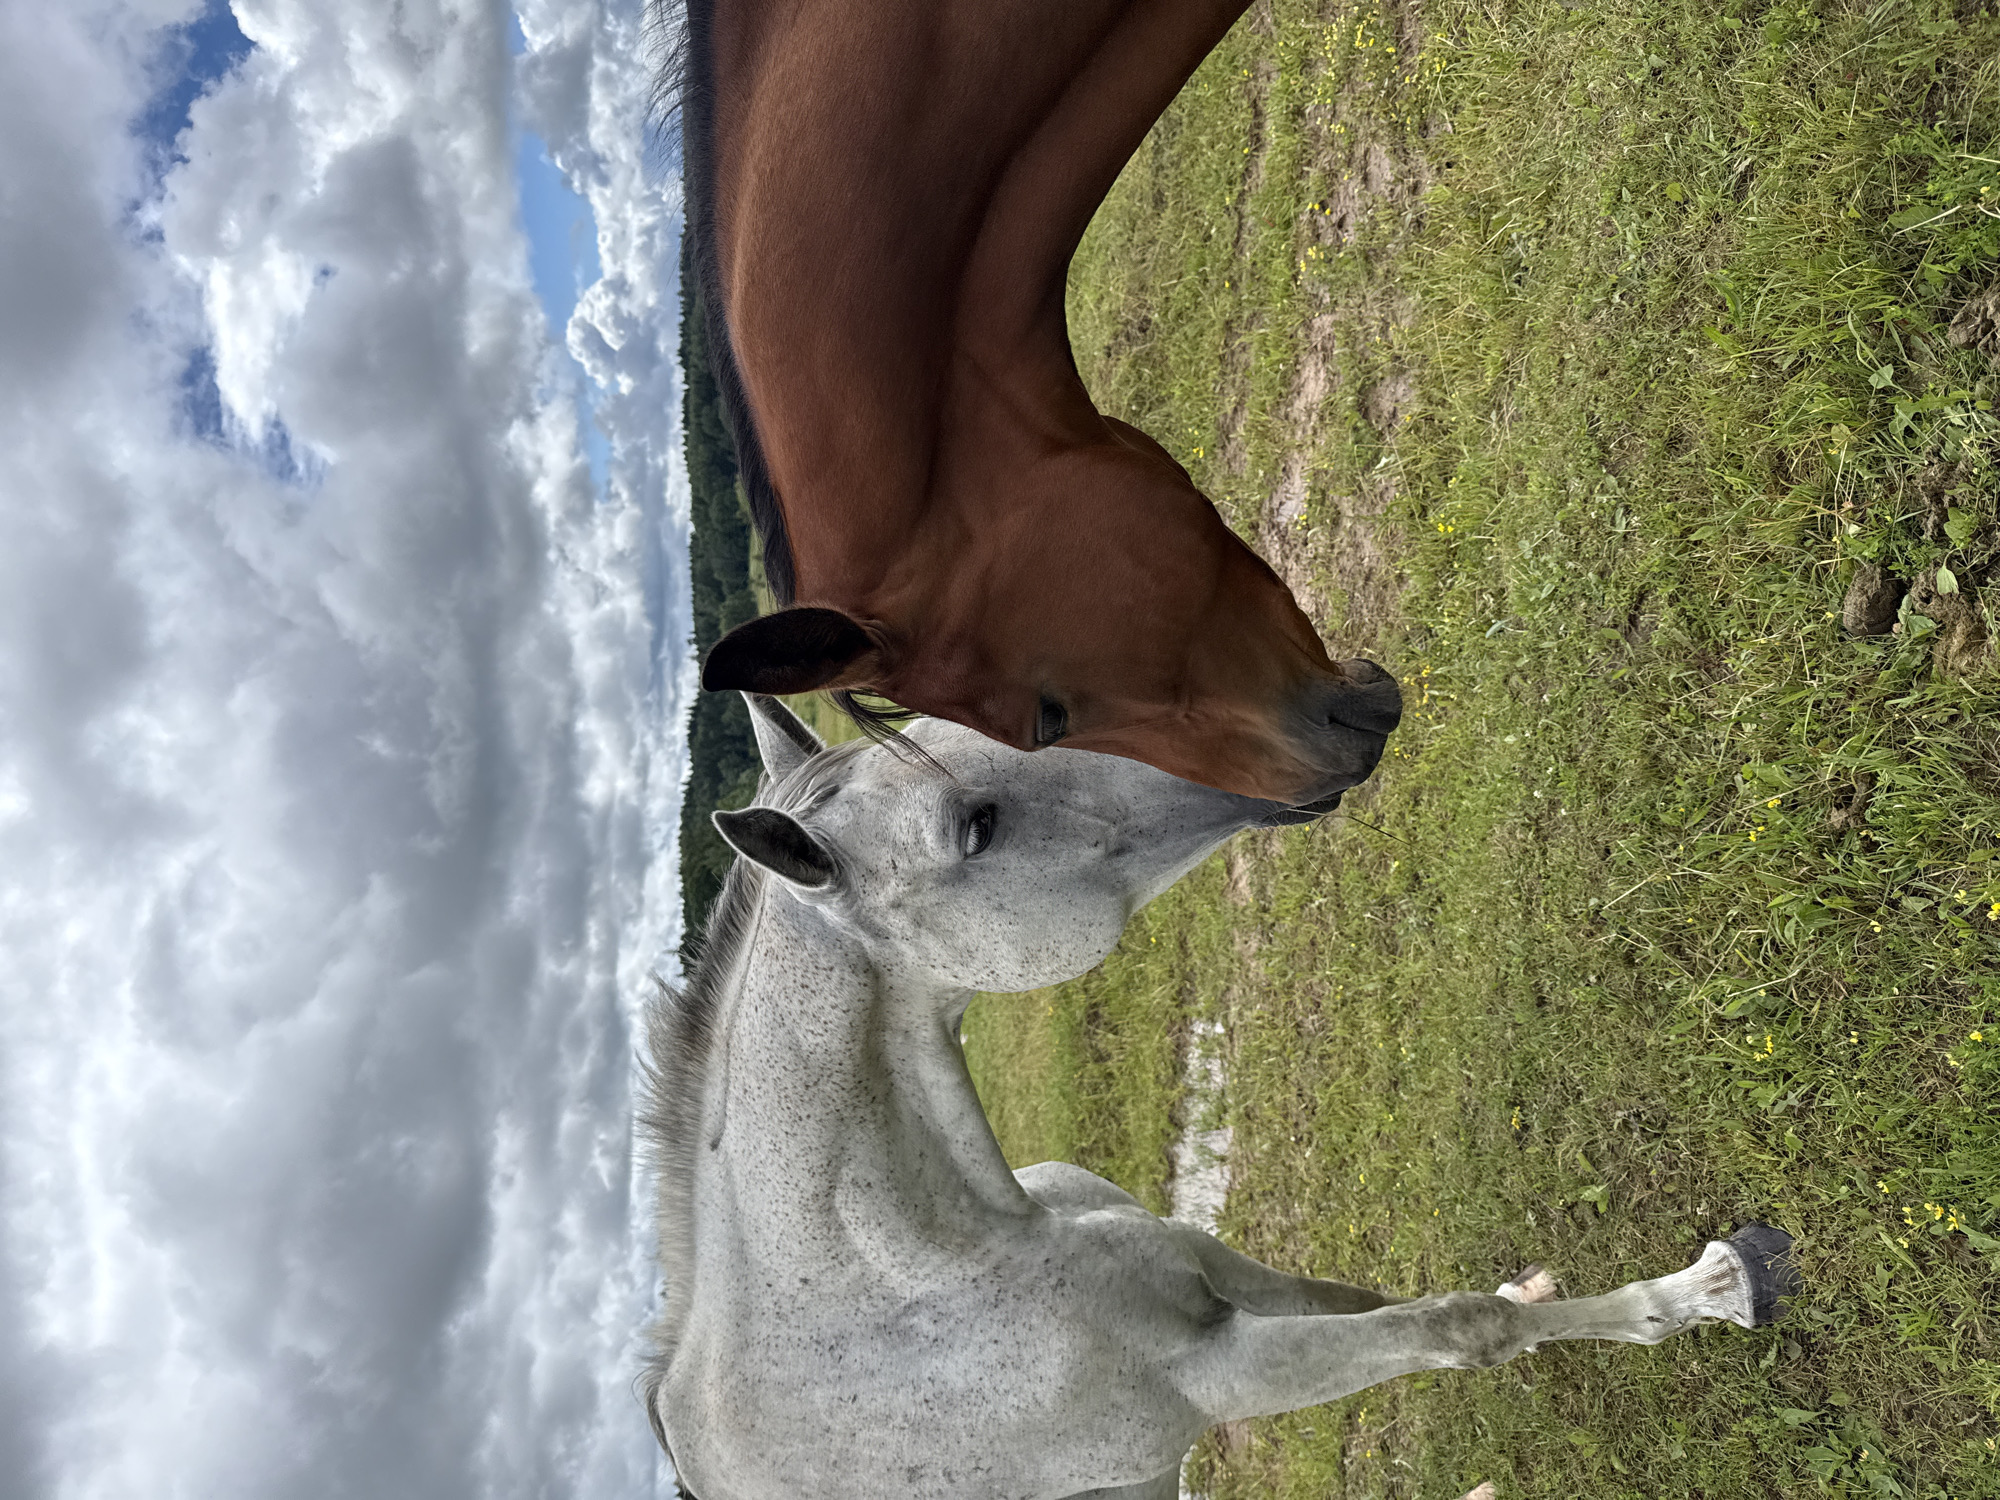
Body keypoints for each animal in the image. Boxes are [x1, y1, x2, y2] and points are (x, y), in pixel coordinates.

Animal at [637, 694, 1800, 1500]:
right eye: (974, 827)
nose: (1345, 712)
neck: (919, 1283)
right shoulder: (1221, 1375)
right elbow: (1459, 1327)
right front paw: (1712, 1287)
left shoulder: (1216, 1268)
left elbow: (1374, 1300)